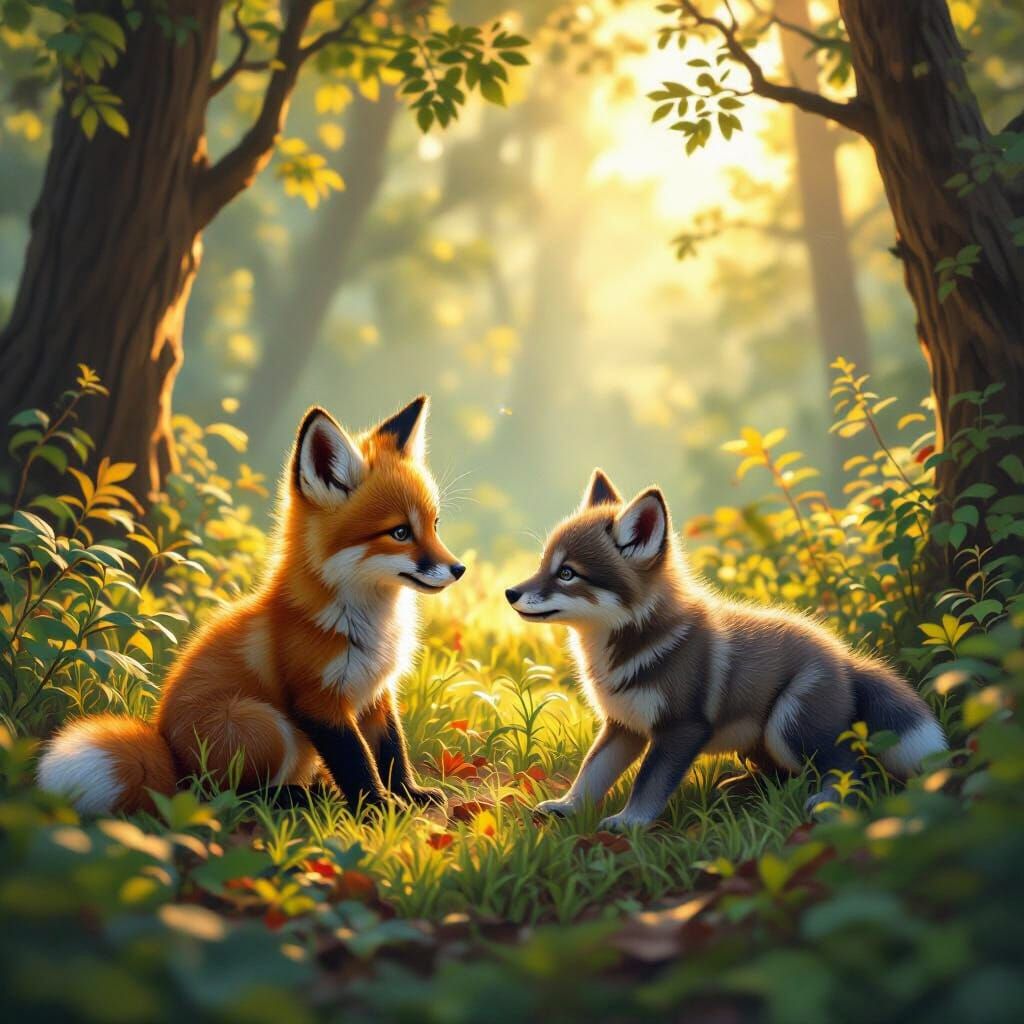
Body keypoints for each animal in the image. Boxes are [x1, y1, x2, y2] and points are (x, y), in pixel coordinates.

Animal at [38, 396, 466, 816]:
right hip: (261, 722)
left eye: (434, 525)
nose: (459, 569)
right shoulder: (318, 700)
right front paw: (378, 806)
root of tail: (172, 760)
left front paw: (409, 793)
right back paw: (298, 797)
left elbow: (392, 751)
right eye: (400, 532)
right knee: (227, 796)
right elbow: (357, 762)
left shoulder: (378, 691)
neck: (368, 622)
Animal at [506, 469, 947, 830]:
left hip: (787, 727)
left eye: (567, 573)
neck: (632, 644)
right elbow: (591, 772)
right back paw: (738, 789)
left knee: (848, 766)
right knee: (787, 773)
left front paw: (630, 823)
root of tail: (845, 656)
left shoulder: (681, 728)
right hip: (760, 742)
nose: (510, 592)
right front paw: (567, 807)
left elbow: (648, 783)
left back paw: (826, 802)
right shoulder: (624, 725)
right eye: (544, 565)